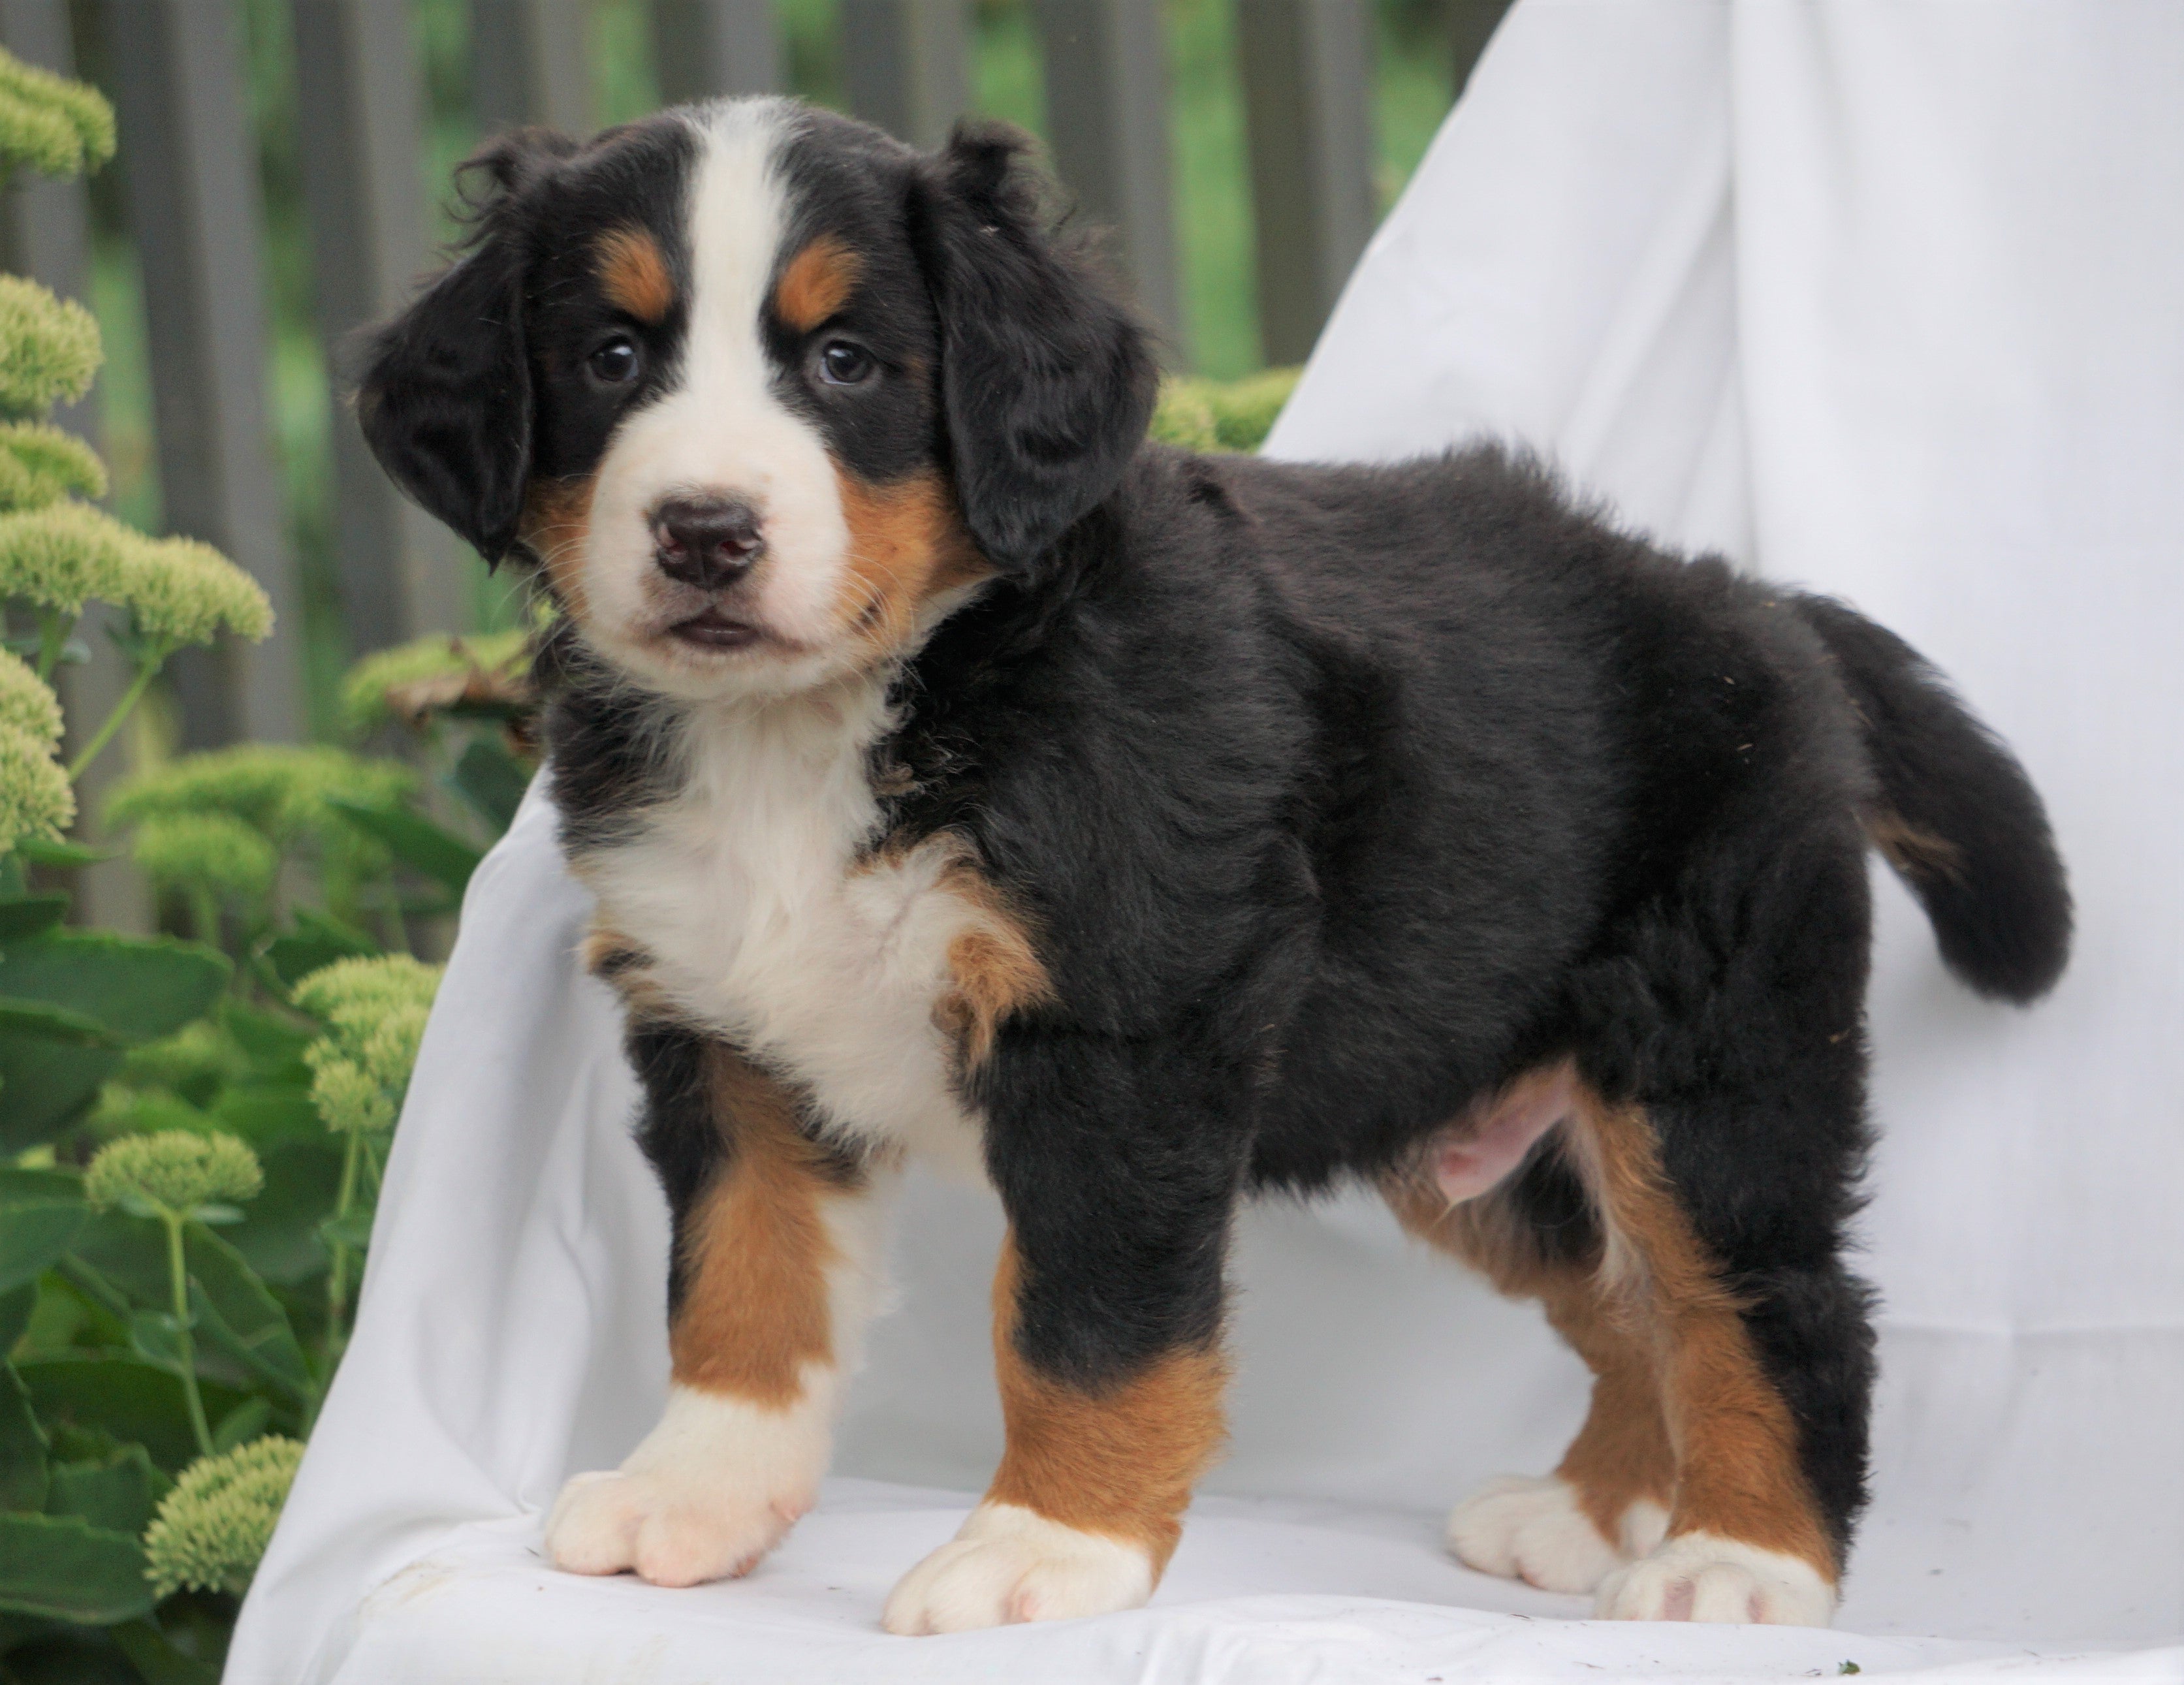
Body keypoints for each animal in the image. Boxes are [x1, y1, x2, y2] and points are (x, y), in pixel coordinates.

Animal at [353, 95, 2061, 1632]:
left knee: (1761, 1298)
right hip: (1453, 1098)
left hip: (1706, 1049)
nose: (705, 531)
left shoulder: (1123, 1032)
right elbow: (738, 1278)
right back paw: (1591, 1511)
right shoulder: (724, 1024)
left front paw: (1045, 1548)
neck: (844, 716)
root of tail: (1748, 602)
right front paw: (695, 1494)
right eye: (611, 356)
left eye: (842, 361)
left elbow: (1085, 1321)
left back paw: (1737, 1561)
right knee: (1624, 1291)